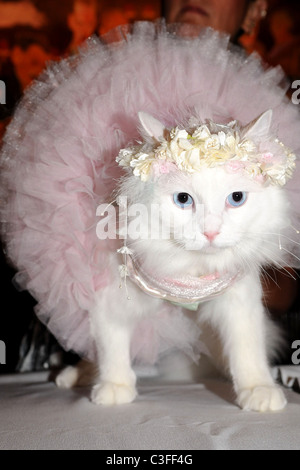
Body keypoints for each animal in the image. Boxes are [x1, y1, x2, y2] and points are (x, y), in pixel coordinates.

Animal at [56, 110, 296, 412]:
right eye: (183, 199)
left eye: (236, 198)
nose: (210, 232)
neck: (190, 271)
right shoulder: (112, 300)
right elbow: (112, 347)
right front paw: (115, 388)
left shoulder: (239, 301)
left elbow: (248, 349)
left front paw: (258, 389)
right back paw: (76, 377)